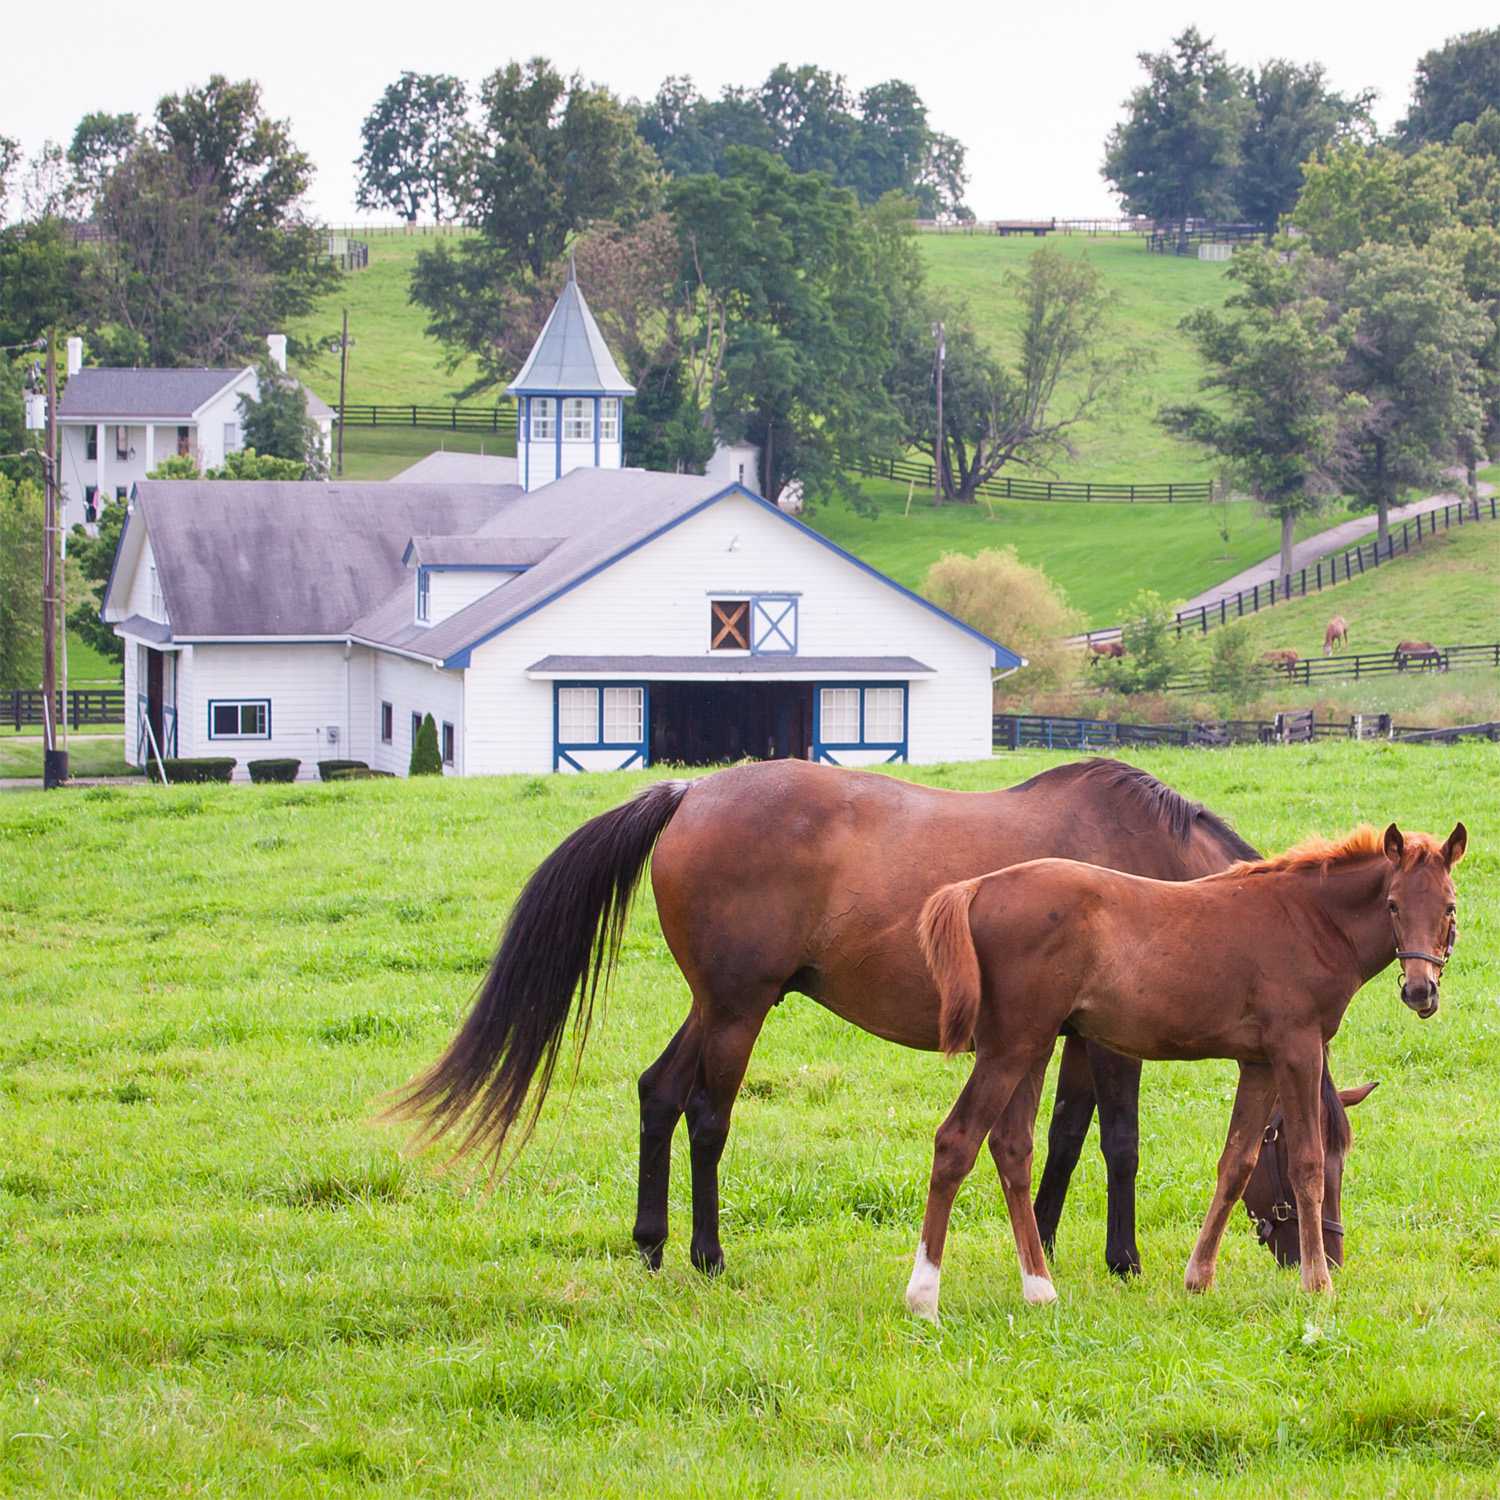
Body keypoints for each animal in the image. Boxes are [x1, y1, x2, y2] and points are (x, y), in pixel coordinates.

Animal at [387, 762, 1326, 1278]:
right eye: (1320, 1157)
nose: (1323, 1253)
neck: (1162, 871)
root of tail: (692, 792)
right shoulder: (1115, 1039)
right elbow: (1118, 1142)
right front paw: (1120, 1260)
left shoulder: (1069, 1037)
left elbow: (1064, 1135)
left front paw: (1048, 1244)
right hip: (739, 1011)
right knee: (706, 1115)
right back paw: (706, 1254)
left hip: (716, 1005)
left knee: (658, 1094)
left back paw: (652, 1243)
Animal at [912, 816, 1464, 1320]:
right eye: (1392, 904)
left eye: (1449, 907)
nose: (1421, 991)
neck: (1309, 921)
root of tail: (976, 888)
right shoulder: (1298, 1049)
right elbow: (1305, 1163)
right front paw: (1317, 1285)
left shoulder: (1259, 1064)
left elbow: (1236, 1164)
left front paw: (1199, 1277)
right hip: (1009, 1048)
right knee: (956, 1140)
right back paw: (923, 1299)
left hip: (1033, 1047)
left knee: (1011, 1149)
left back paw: (1039, 1289)